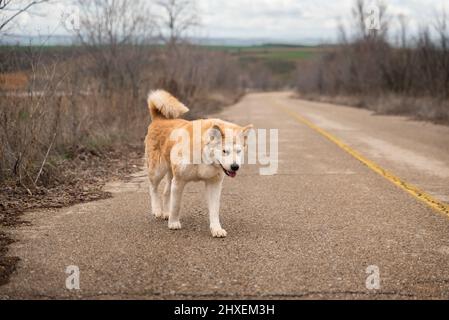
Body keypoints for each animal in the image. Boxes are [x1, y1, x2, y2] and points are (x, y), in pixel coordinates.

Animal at [146, 90, 254, 238]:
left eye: (238, 151)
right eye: (224, 151)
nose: (235, 167)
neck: (204, 157)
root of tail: (158, 119)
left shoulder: (214, 184)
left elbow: (214, 211)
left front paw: (216, 229)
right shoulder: (179, 181)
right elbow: (176, 205)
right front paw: (174, 223)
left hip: (170, 175)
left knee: (166, 192)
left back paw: (166, 213)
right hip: (158, 172)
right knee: (153, 188)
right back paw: (157, 210)